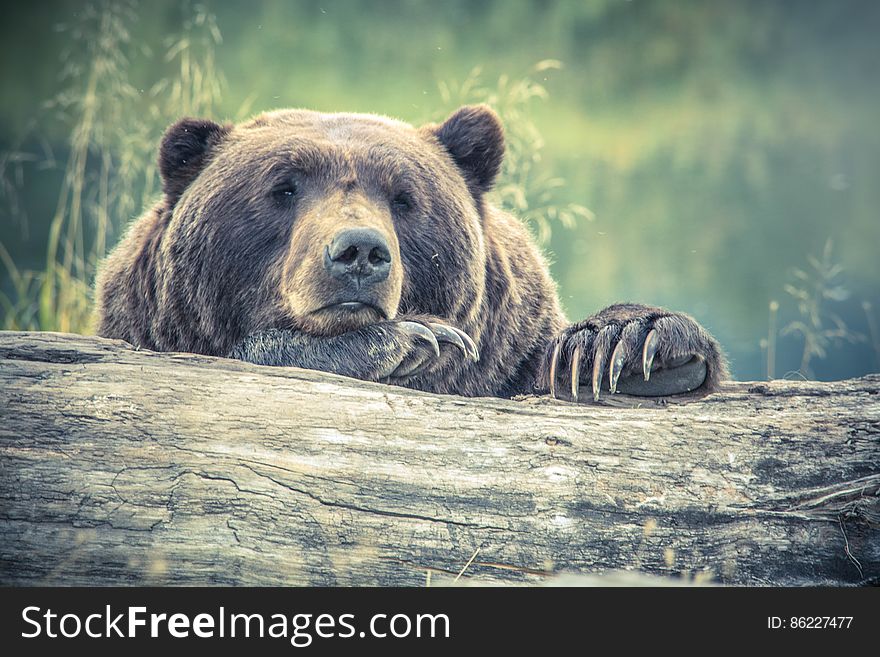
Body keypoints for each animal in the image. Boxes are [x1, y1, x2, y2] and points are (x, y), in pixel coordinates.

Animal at [98, 104, 728, 398]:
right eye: (283, 187)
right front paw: (412, 339)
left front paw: (623, 346)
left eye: (404, 197)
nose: (359, 251)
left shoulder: (511, 353)